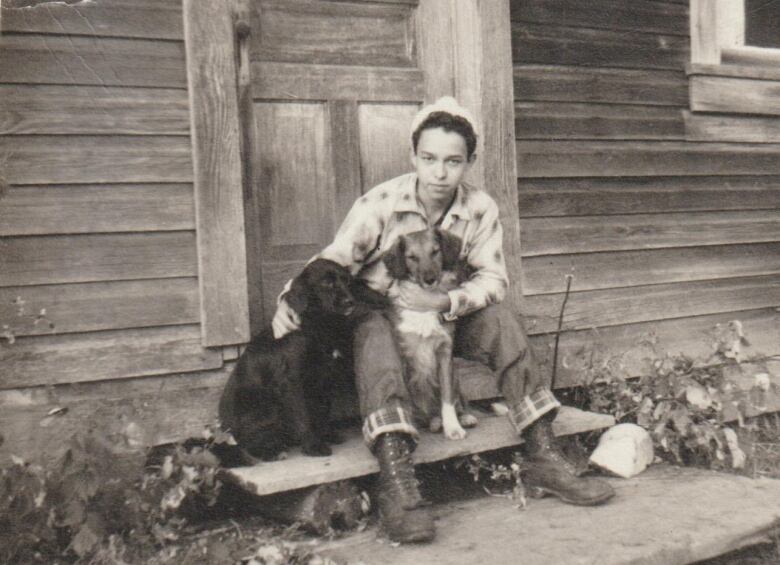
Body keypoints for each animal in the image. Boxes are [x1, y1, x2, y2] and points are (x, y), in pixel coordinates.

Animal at [218, 258, 386, 462]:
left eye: (346, 281)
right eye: (327, 283)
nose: (350, 301)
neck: (318, 326)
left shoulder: (324, 378)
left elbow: (322, 412)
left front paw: (326, 434)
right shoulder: (292, 381)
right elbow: (303, 416)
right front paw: (313, 446)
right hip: (263, 406)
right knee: (250, 442)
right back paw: (271, 450)